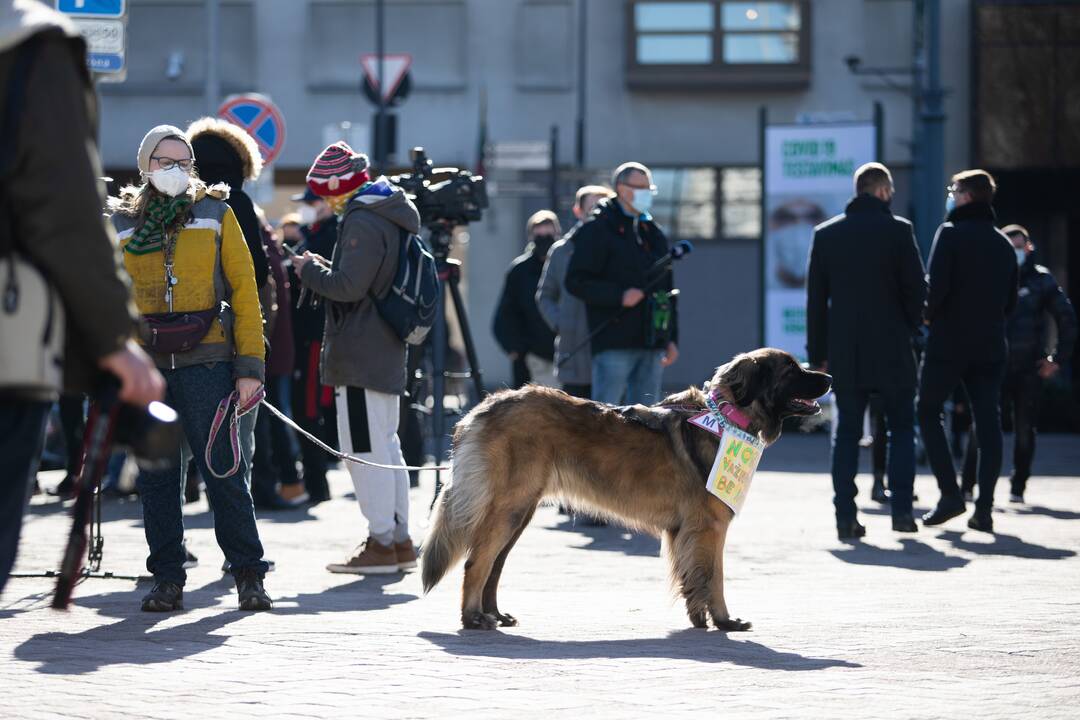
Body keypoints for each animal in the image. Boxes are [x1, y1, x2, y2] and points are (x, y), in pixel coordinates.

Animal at [419, 349, 825, 630]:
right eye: (791, 370)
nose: (830, 376)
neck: (727, 418)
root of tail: (482, 408)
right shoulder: (711, 526)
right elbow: (715, 576)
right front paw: (725, 621)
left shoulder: (687, 531)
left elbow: (694, 577)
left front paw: (700, 619)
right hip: (509, 508)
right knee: (477, 561)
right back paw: (473, 618)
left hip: (520, 512)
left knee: (494, 564)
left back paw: (495, 614)